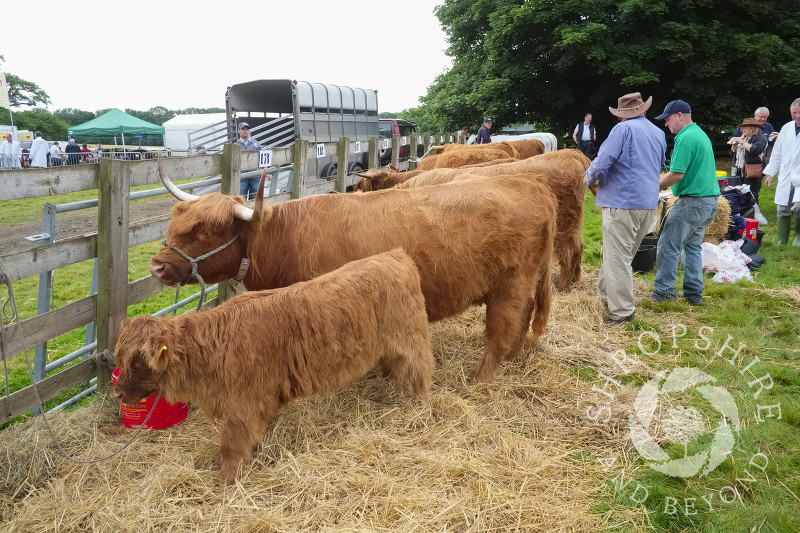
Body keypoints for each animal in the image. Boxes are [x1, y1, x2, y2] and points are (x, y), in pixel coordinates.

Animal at [114, 249, 432, 482]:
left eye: (137, 361)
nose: (117, 392)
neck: (213, 349)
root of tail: (395, 255)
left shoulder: (241, 405)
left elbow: (230, 445)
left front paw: (224, 480)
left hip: (411, 338)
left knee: (422, 371)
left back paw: (422, 407)